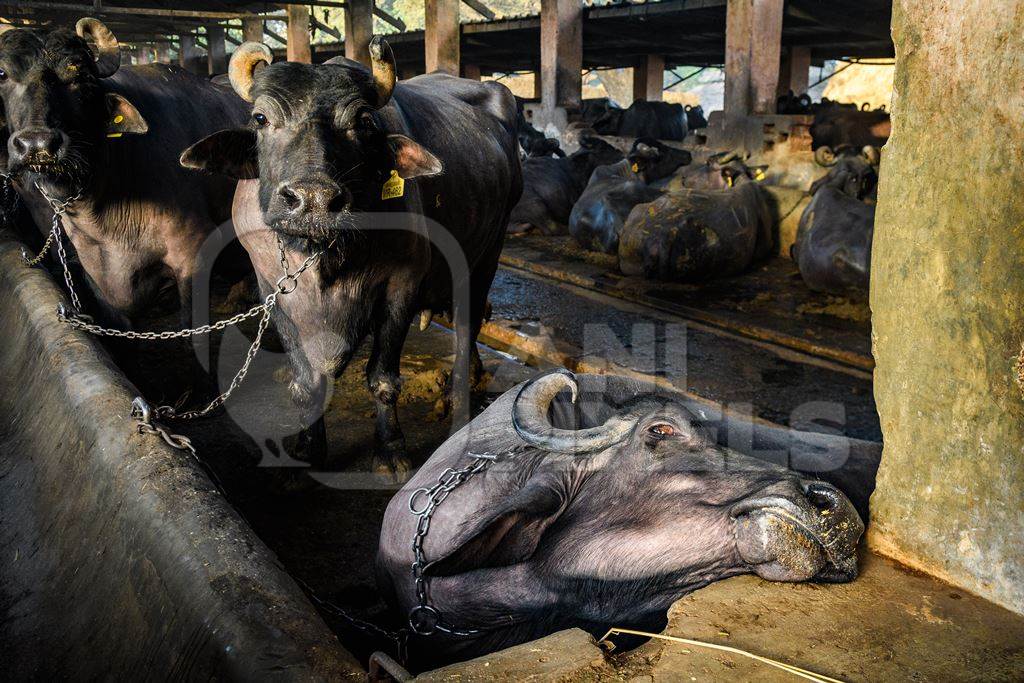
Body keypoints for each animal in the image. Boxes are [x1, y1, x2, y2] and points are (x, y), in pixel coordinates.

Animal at [178, 38, 520, 475]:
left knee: (467, 325)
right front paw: (309, 445)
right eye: (260, 118)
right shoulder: (272, 287)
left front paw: (390, 449)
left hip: (489, 252)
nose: (313, 199)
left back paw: (458, 395)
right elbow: (306, 379)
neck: (324, 256)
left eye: (362, 121)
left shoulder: (402, 284)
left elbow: (383, 377)